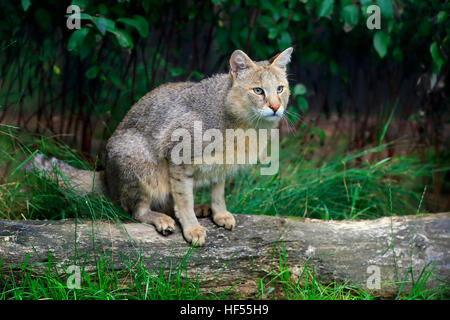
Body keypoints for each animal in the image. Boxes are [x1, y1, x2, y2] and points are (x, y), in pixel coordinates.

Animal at [25, 47, 292, 245]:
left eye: (281, 89)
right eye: (258, 90)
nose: (275, 107)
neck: (246, 126)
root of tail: (105, 176)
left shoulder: (220, 166)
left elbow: (217, 192)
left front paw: (220, 213)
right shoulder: (178, 158)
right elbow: (183, 200)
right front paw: (192, 228)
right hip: (140, 164)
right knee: (136, 210)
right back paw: (162, 218)